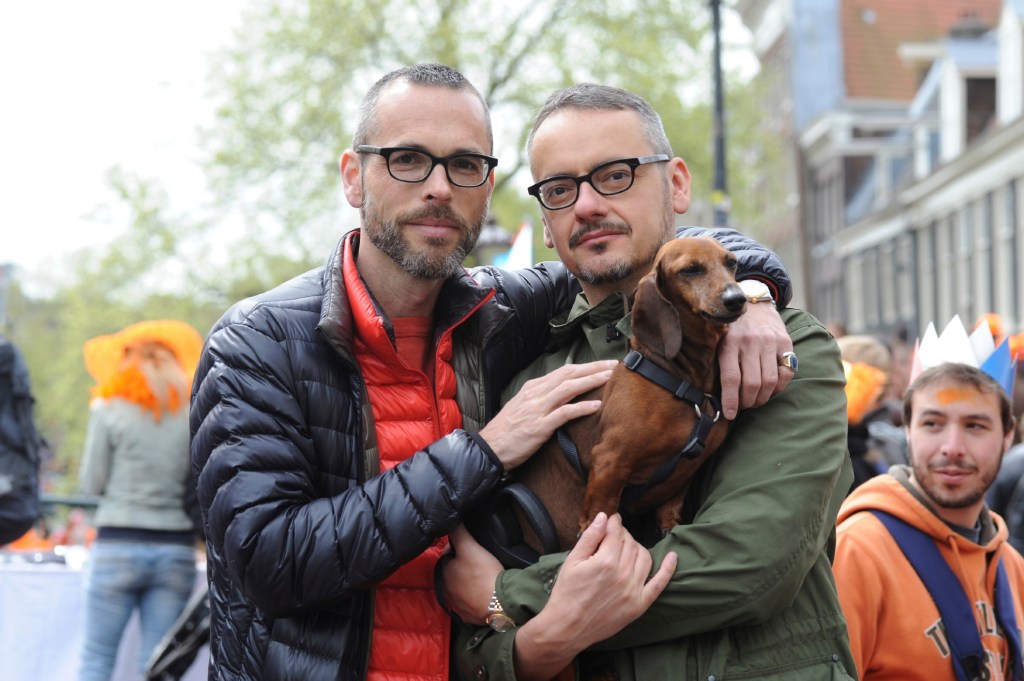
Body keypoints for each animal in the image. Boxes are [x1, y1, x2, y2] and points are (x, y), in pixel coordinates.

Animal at [475, 237, 749, 562]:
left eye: (731, 262)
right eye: (690, 270)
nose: (737, 299)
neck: (681, 380)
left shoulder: (679, 483)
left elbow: (668, 515)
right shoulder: (610, 460)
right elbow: (598, 519)